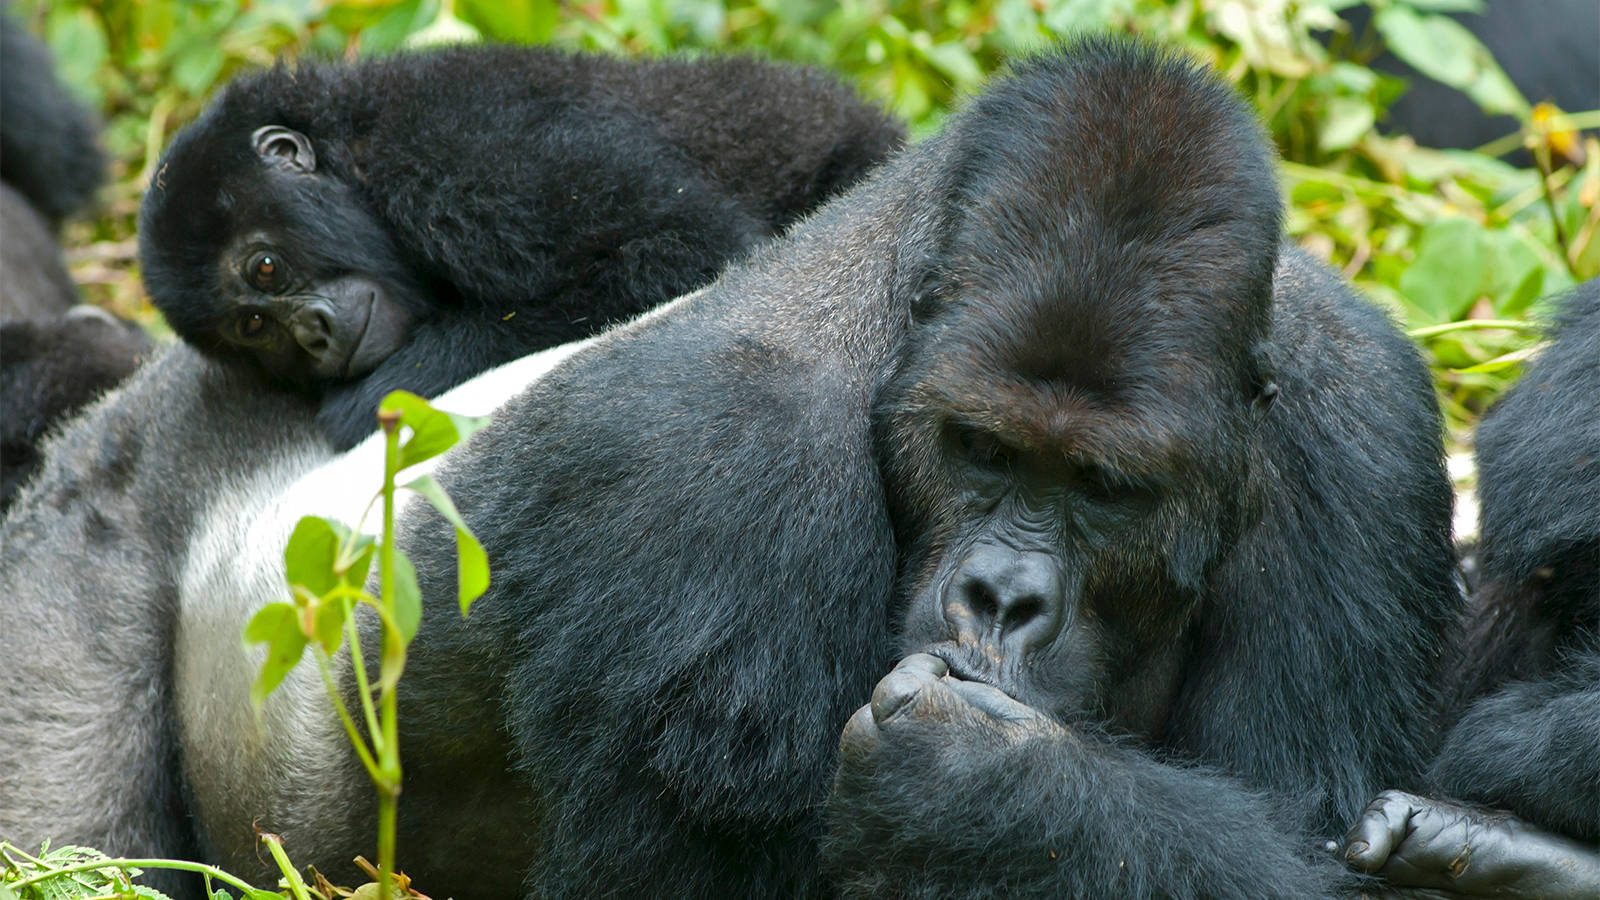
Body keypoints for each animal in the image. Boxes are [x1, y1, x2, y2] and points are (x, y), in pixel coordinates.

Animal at [140, 45, 902, 445]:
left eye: (265, 268)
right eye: (253, 328)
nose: (313, 334)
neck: (354, 150)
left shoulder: (462, 153)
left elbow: (681, 244)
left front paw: (370, 399)